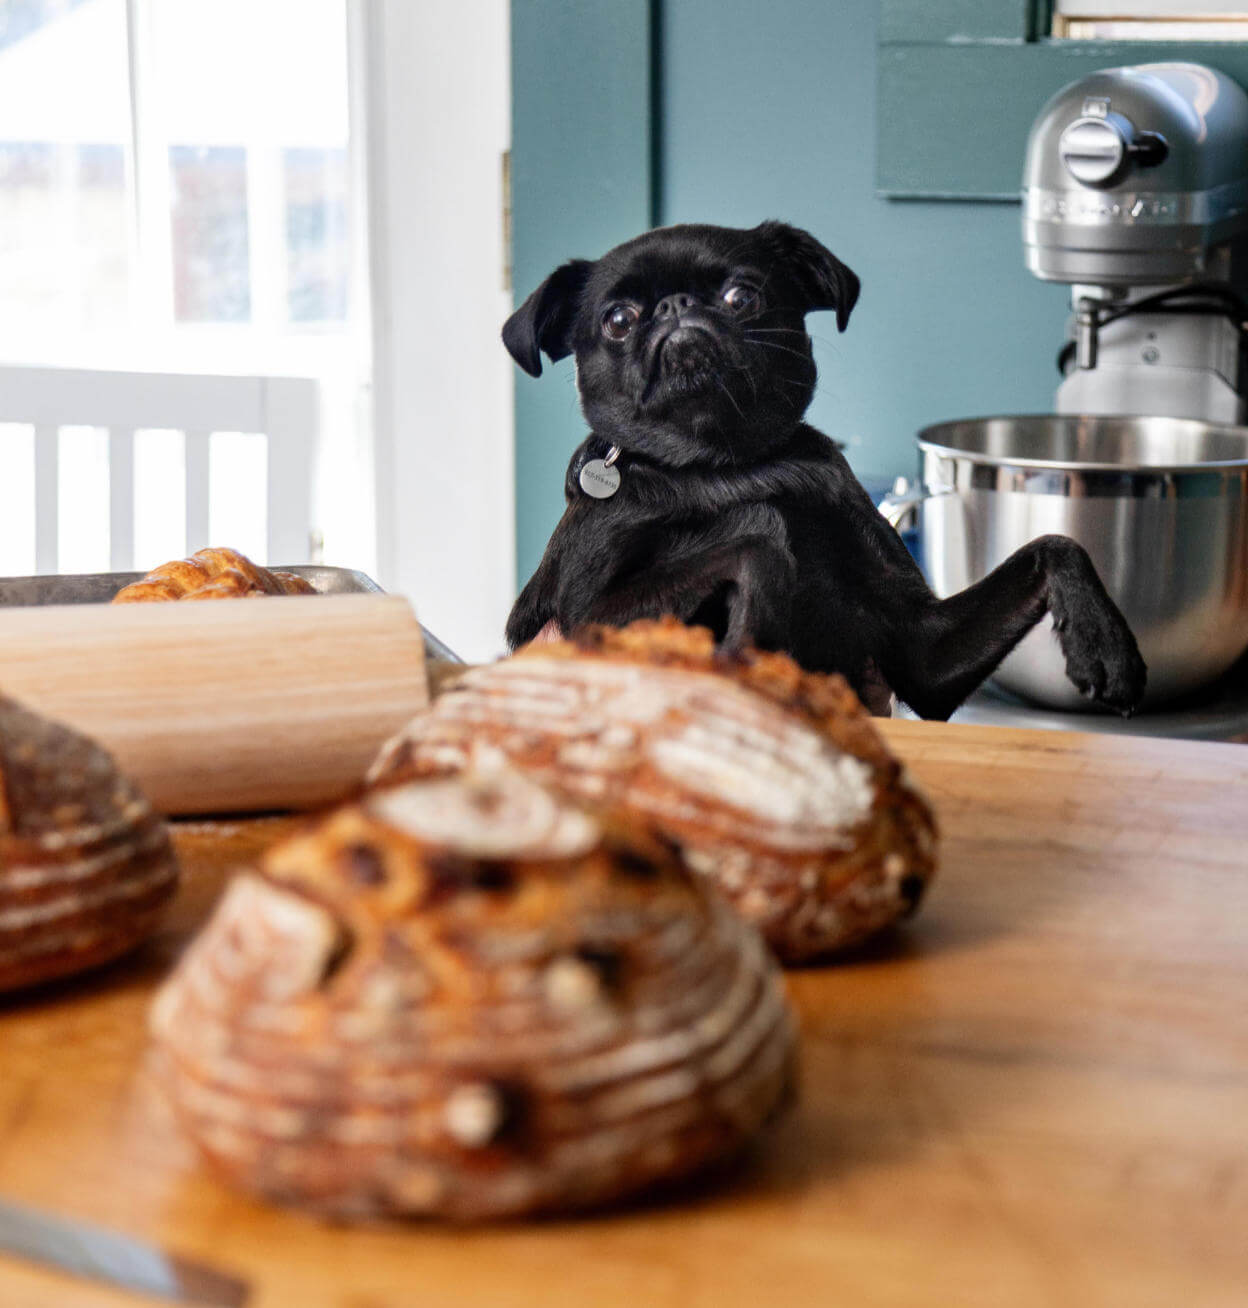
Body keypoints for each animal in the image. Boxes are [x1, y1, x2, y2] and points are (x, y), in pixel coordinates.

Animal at [502, 219, 1140, 722]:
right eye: (617, 319)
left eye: (742, 297)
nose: (677, 307)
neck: (726, 467)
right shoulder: (583, 618)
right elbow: (757, 535)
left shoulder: (924, 657)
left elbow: (1055, 544)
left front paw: (1106, 643)